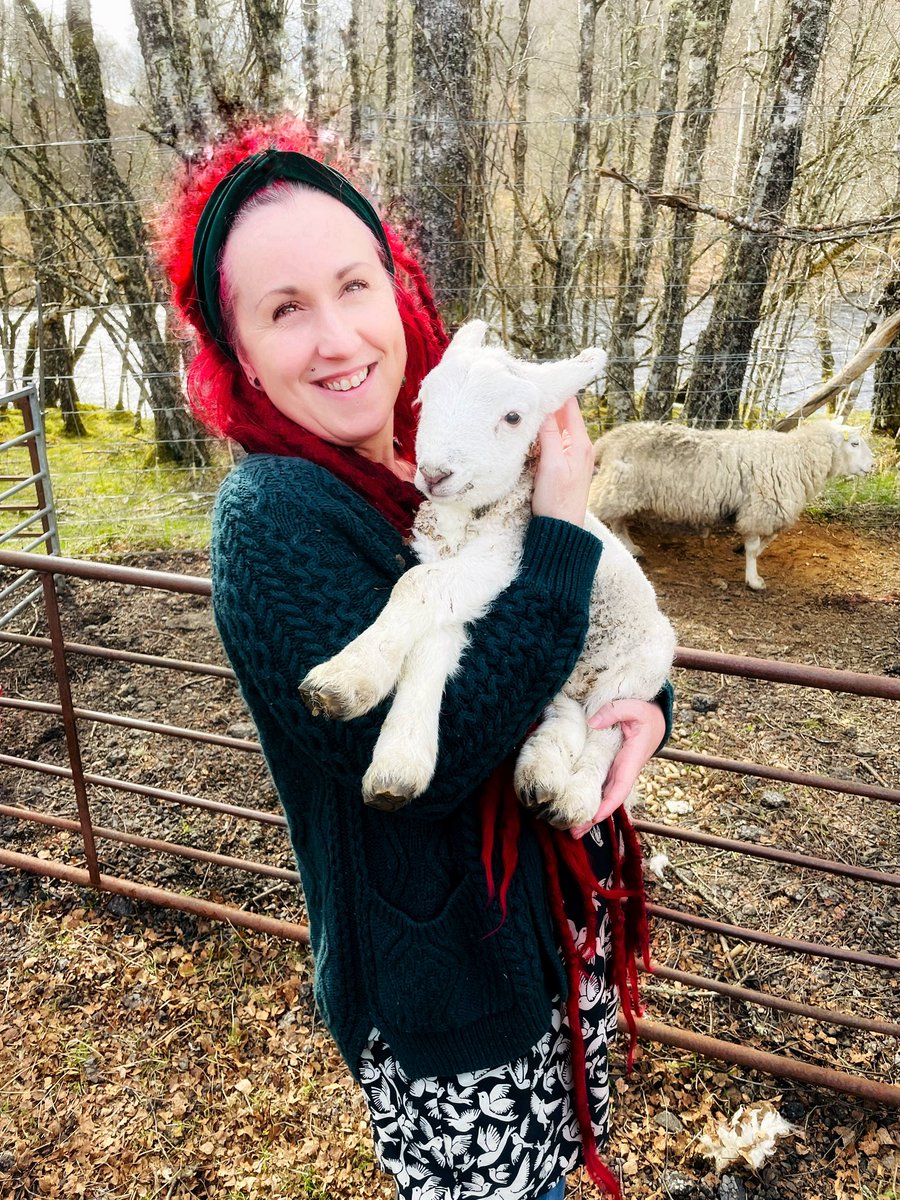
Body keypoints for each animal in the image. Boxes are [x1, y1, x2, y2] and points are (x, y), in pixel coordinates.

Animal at [301, 319, 676, 830]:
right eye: (424, 398)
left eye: (514, 418)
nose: (434, 473)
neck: (462, 523)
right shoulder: (449, 574)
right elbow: (432, 636)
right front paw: (400, 760)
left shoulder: (501, 557)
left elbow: (415, 586)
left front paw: (347, 675)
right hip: (572, 677)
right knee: (568, 714)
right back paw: (542, 776)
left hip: (637, 671)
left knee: (609, 733)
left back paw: (575, 798)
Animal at [588, 420, 878, 592]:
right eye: (854, 443)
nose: (874, 465)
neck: (797, 458)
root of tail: (608, 439)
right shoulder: (759, 509)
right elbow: (753, 547)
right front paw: (754, 580)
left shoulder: (765, 511)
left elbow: (766, 541)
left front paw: (746, 556)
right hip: (617, 487)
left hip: (622, 491)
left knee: (618, 522)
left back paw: (631, 548)